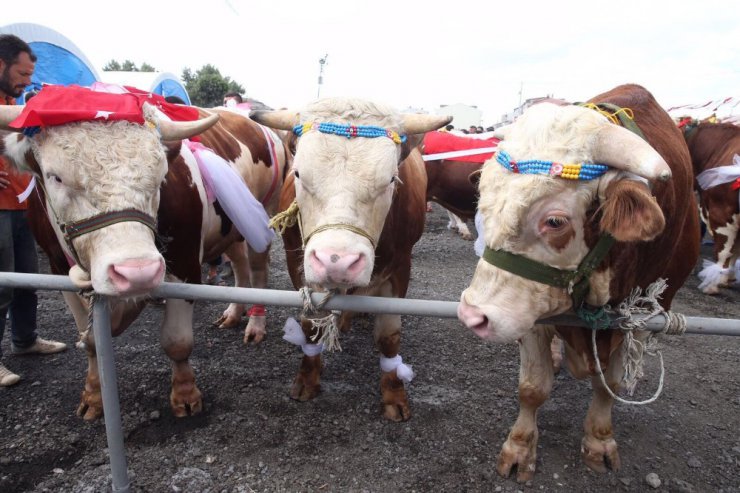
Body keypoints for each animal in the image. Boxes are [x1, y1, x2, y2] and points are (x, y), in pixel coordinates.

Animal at [0, 102, 290, 418]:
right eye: (55, 176)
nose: (136, 272)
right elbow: (90, 341)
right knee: (239, 265)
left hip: (264, 214)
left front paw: (185, 394)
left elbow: (176, 340)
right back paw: (233, 313)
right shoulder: (58, 271)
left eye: (161, 174)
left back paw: (255, 325)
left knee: (258, 270)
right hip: (231, 227)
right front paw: (93, 395)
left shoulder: (185, 264)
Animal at [456, 85, 700, 480]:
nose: (473, 316)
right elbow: (532, 387)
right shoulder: (531, 309)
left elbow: (608, 385)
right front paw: (519, 449)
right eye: (484, 204)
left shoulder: (640, 318)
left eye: (555, 221)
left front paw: (599, 442)